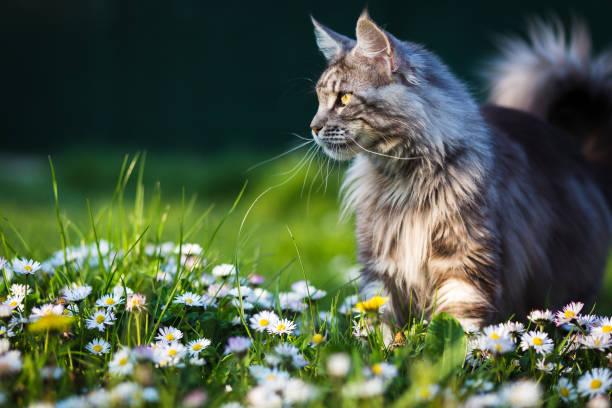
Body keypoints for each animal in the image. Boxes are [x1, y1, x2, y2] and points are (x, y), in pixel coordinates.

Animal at [310, 11, 612, 326]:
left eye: (344, 98)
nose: (313, 127)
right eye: (319, 99)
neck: (404, 179)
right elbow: (379, 325)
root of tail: (579, 155)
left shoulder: (465, 263)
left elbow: (459, 324)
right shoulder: (379, 266)